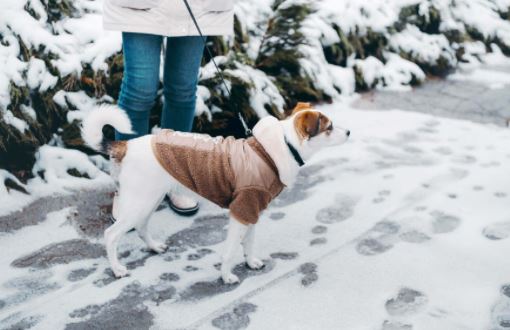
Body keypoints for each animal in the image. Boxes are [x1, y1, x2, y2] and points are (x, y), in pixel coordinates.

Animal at [81, 103, 350, 284]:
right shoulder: (242, 210)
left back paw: (154, 247)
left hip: (149, 200)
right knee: (111, 235)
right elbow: (231, 250)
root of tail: (126, 146)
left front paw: (251, 262)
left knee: (141, 227)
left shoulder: (252, 210)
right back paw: (117, 268)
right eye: (329, 127)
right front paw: (227, 275)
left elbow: (248, 242)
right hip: (139, 202)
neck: (278, 148)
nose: (348, 133)